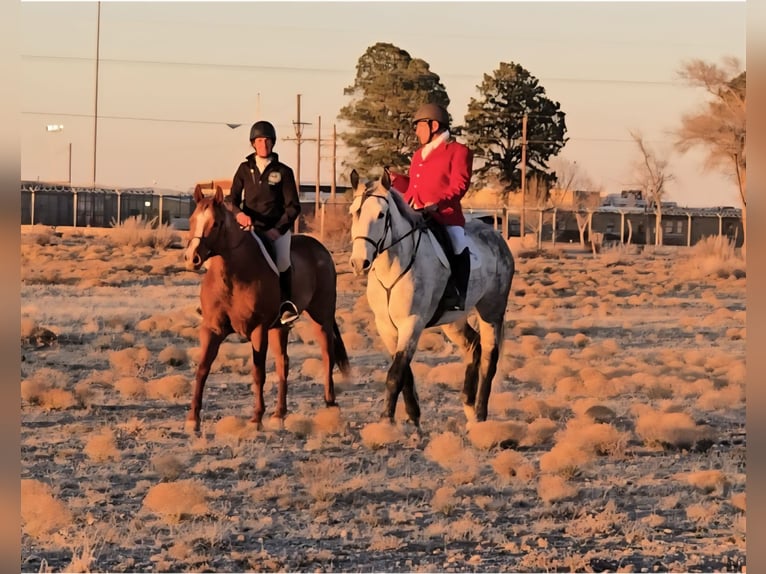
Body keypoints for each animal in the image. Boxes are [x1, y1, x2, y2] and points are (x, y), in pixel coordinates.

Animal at [183, 184, 350, 431]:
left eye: (216, 223)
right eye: (192, 219)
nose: (191, 258)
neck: (234, 275)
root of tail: (321, 249)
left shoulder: (258, 329)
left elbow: (258, 372)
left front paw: (255, 418)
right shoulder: (213, 329)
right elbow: (202, 369)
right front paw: (193, 419)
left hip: (322, 317)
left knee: (327, 354)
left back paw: (330, 403)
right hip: (280, 327)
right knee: (283, 363)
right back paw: (279, 413)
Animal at [348, 169, 514, 427]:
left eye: (381, 214)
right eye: (353, 212)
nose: (359, 263)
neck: (392, 268)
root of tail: (497, 237)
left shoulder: (412, 323)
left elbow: (395, 374)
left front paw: (387, 422)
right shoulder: (386, 326)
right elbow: (404, 373)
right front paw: (413, 417)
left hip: (491, 311)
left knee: (490, 356)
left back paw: (479, 413)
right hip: (453, 320)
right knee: (473, 345)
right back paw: (468, 403)